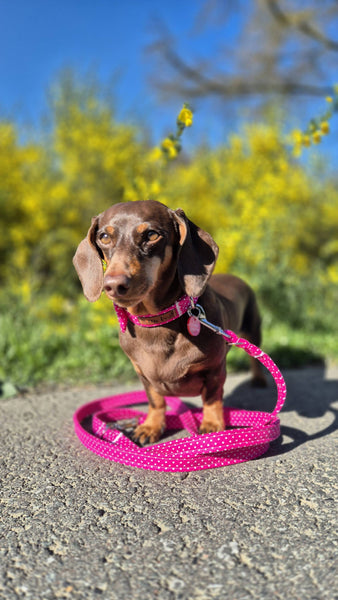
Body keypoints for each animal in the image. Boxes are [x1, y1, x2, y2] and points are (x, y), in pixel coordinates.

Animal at [72, 199, 266, 442]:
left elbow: (212, 399)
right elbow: (156, 401)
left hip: (253, 330)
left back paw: (259, 380)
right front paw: (151, 426)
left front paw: (212, 425)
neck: (157, 322)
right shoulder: (143, 375)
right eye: (104, 237)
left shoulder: (215, 369)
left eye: (151, 234)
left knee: (256, 357)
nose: (114, 285)